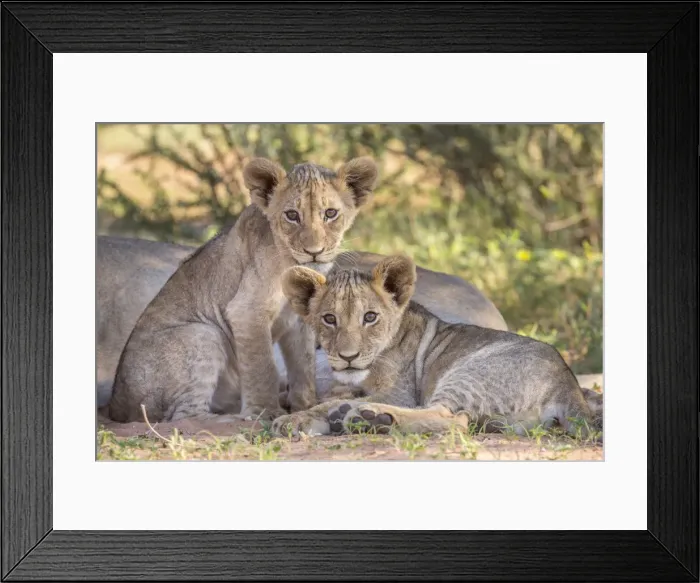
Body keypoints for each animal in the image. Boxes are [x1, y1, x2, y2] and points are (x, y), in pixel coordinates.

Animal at [108, 156, 378, 423]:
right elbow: (263, 366)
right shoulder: (247, 311)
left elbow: (303, 365)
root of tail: (116, 405)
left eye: (330, 214)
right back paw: (232, 418)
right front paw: (265, 412)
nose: (314, 251)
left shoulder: (300, 319)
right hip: (202, 333)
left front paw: (305, 405)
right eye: (292, 215)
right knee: (184, 417)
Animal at [272, 255, 602, 438]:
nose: (348, 357)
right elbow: (327, 398)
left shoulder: (402, 392)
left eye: (370, 317)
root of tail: (567, 384)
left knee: (449, 418)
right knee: (463, 420)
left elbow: (326, 403)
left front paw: (294, 419)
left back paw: (369, 418)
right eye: (329, 319)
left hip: (469, 373)